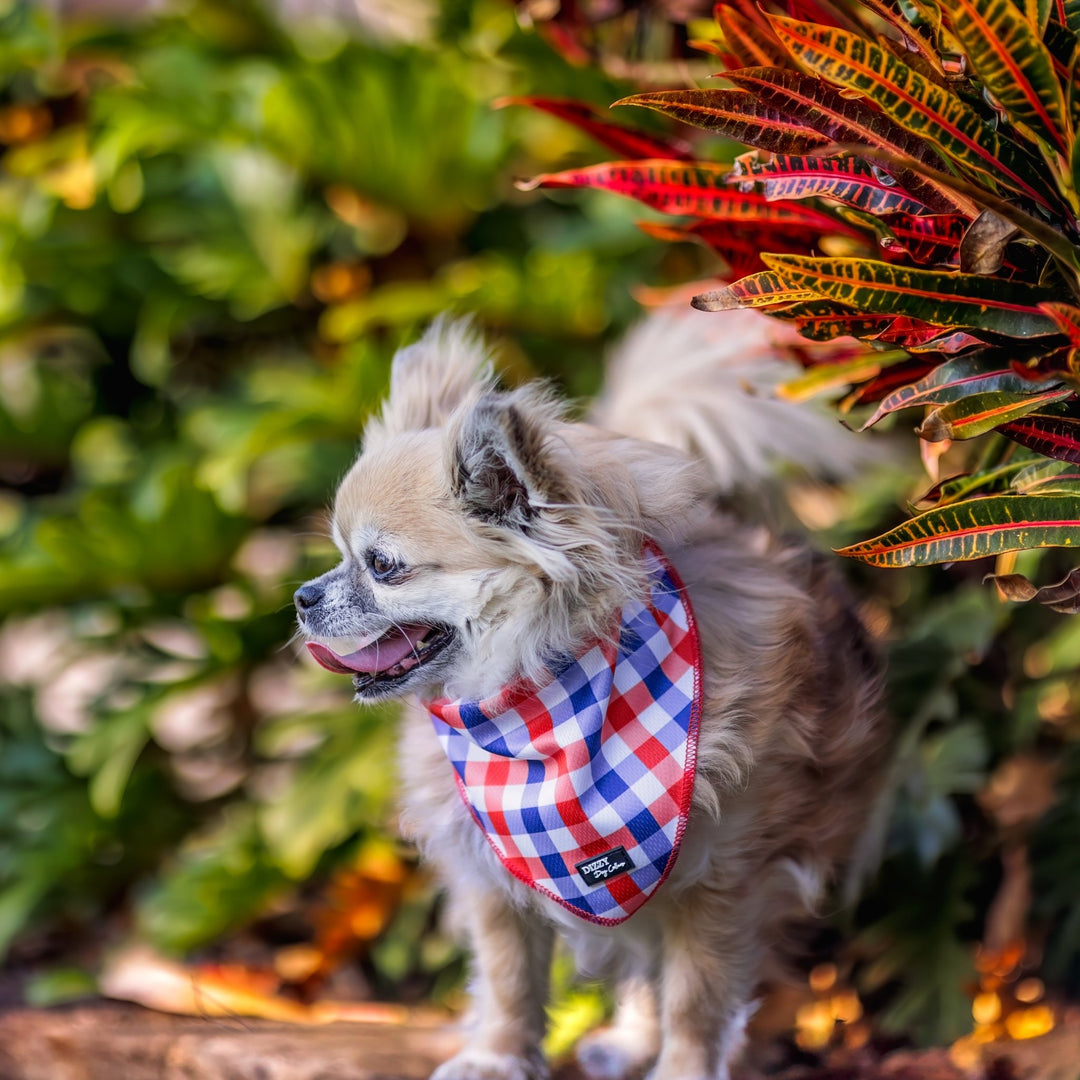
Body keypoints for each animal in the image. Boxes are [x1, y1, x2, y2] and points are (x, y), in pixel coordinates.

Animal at [293, 311, 885, 1080]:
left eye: (383, 566)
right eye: (338, 555)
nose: (303, 598)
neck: (540, 703)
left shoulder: (722, 883)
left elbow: (696, 998)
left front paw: (686, 1072)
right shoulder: (494, 879)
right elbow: (508, 976)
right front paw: (495, 1058)